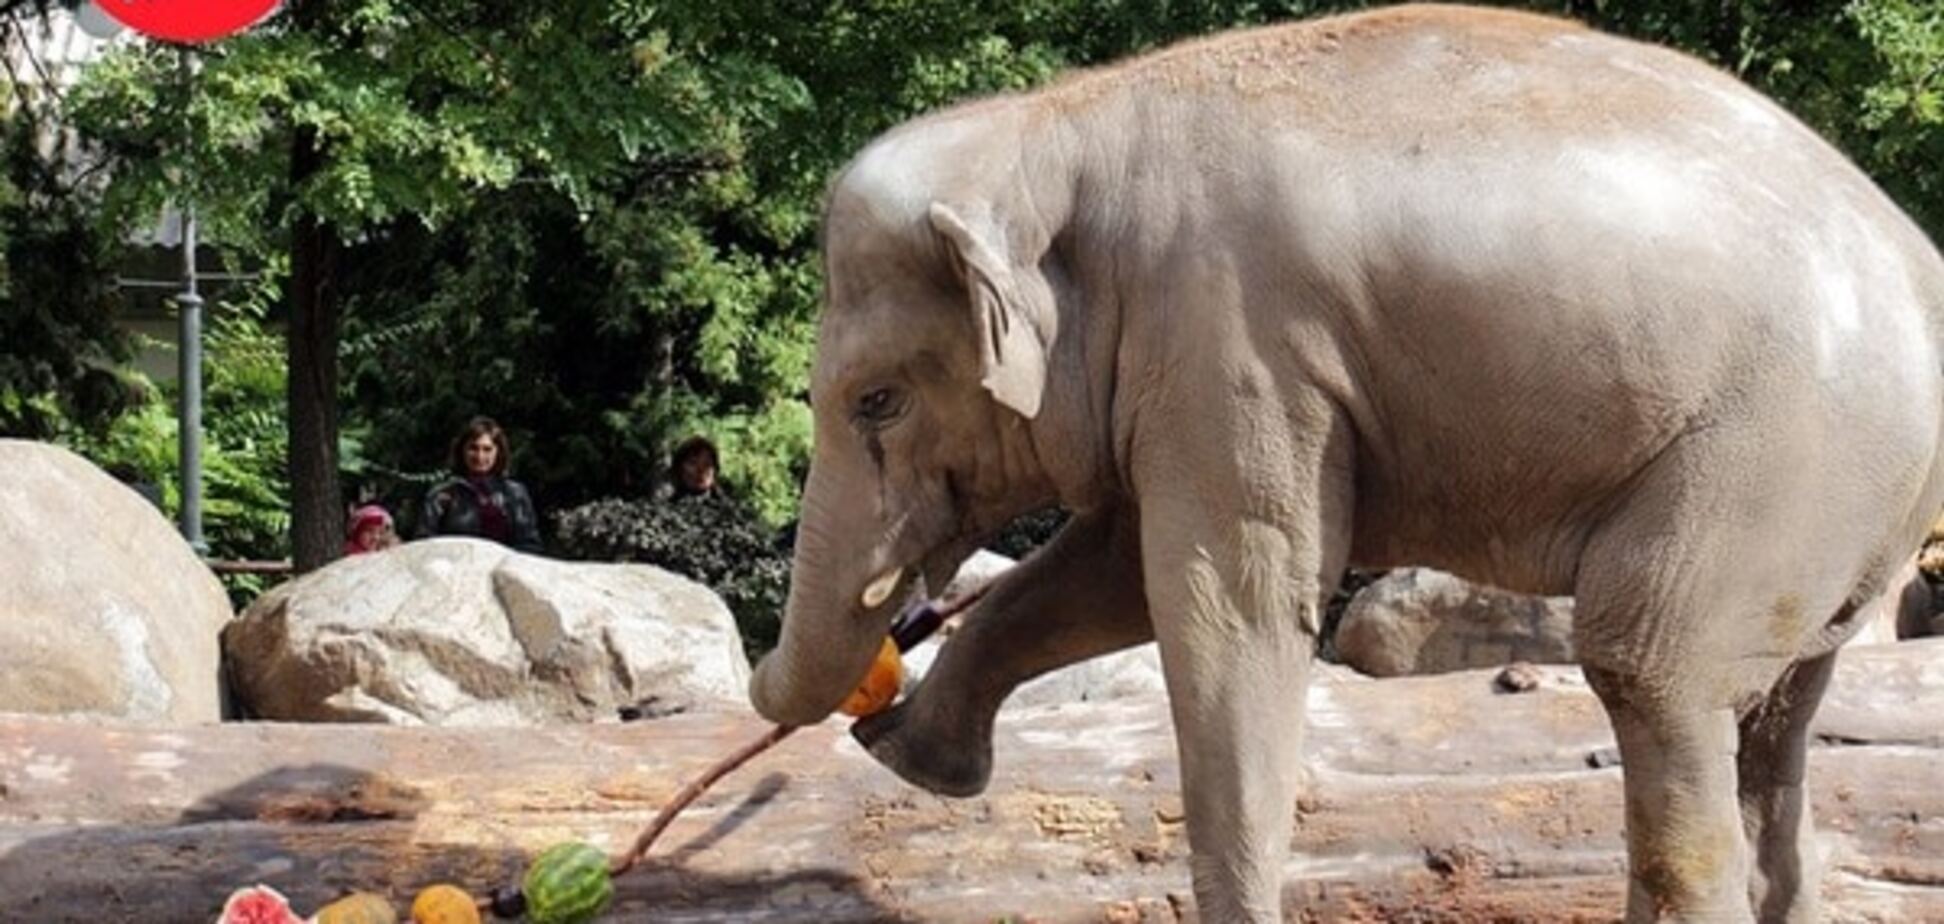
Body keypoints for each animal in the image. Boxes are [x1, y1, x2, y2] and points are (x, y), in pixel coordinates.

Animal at [742, 3, 1944, 922]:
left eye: (877, 401)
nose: (875, 681)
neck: (1058, 126)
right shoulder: (1196, 369)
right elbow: (1112, 572)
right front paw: (912, 762)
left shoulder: (1232, 338)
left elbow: (1227, 608)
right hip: (1836, 505)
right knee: (1777, 725)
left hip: (1775, 461)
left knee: (1650, 668)